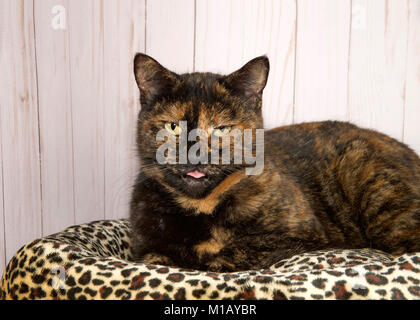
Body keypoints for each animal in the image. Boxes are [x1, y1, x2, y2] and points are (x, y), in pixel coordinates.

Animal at [129, 53, 420, 272]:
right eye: (173, 127)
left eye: (222, 129)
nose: (196, 154)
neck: (201, 207)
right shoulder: (144, 248)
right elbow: (155, 258)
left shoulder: (298, 239)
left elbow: (229, 255)